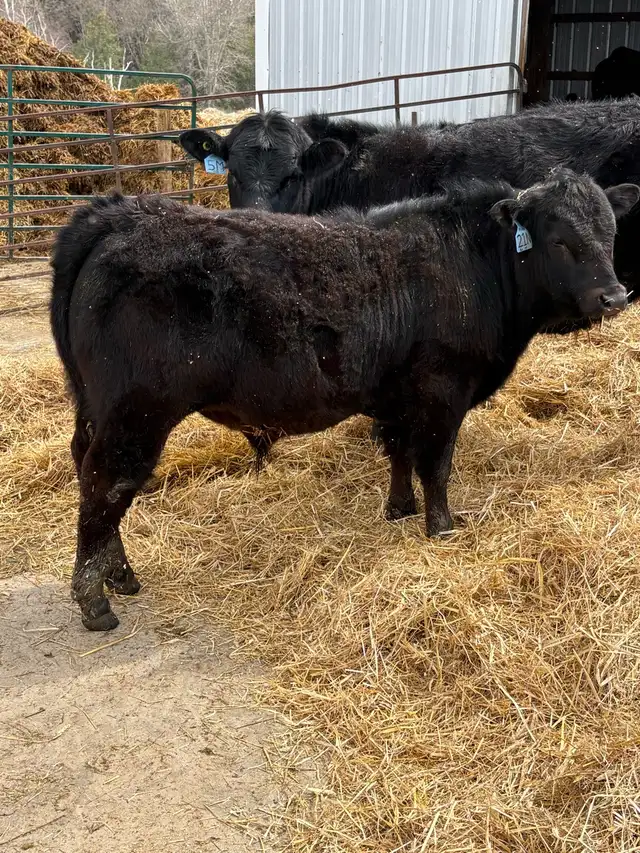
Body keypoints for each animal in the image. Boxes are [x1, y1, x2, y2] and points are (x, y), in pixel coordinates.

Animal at [50, 169, 637, 631]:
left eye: (611, 233)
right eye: (559, 240)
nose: (613, 297)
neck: (475, 266)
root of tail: (121, 214)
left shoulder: (400, 398)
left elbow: (399, 453)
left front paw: (400, 510)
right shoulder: (443, 393)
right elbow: (436, 464)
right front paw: (441, 528)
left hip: (96, 406)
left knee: (90, 472)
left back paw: (120, 575)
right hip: (137, 412)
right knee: (106, 483)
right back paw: (95, 600)